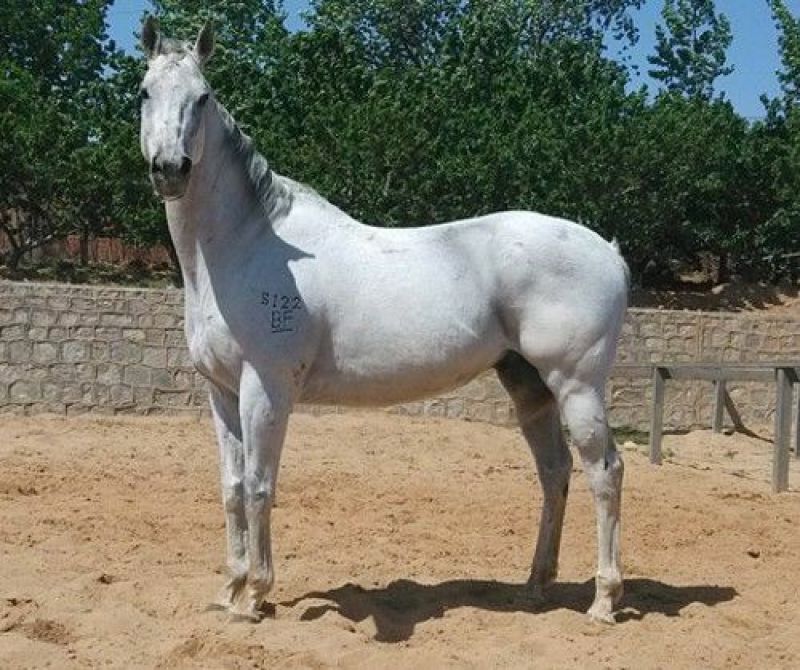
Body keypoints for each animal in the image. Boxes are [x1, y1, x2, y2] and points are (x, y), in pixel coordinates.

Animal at [138, 17, 629, 624]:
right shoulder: (222, 392)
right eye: (144, 93)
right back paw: (535, 585)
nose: (170, 169)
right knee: (555, 472)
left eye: (203, 97)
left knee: (603, 472)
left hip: (577, 385)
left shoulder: (265, 389)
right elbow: (230, 488)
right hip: (528, 385)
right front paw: (229, 590)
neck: (245, 247)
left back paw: (604, 601)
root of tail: (609, 252)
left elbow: (258, 486)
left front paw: (255, 595)